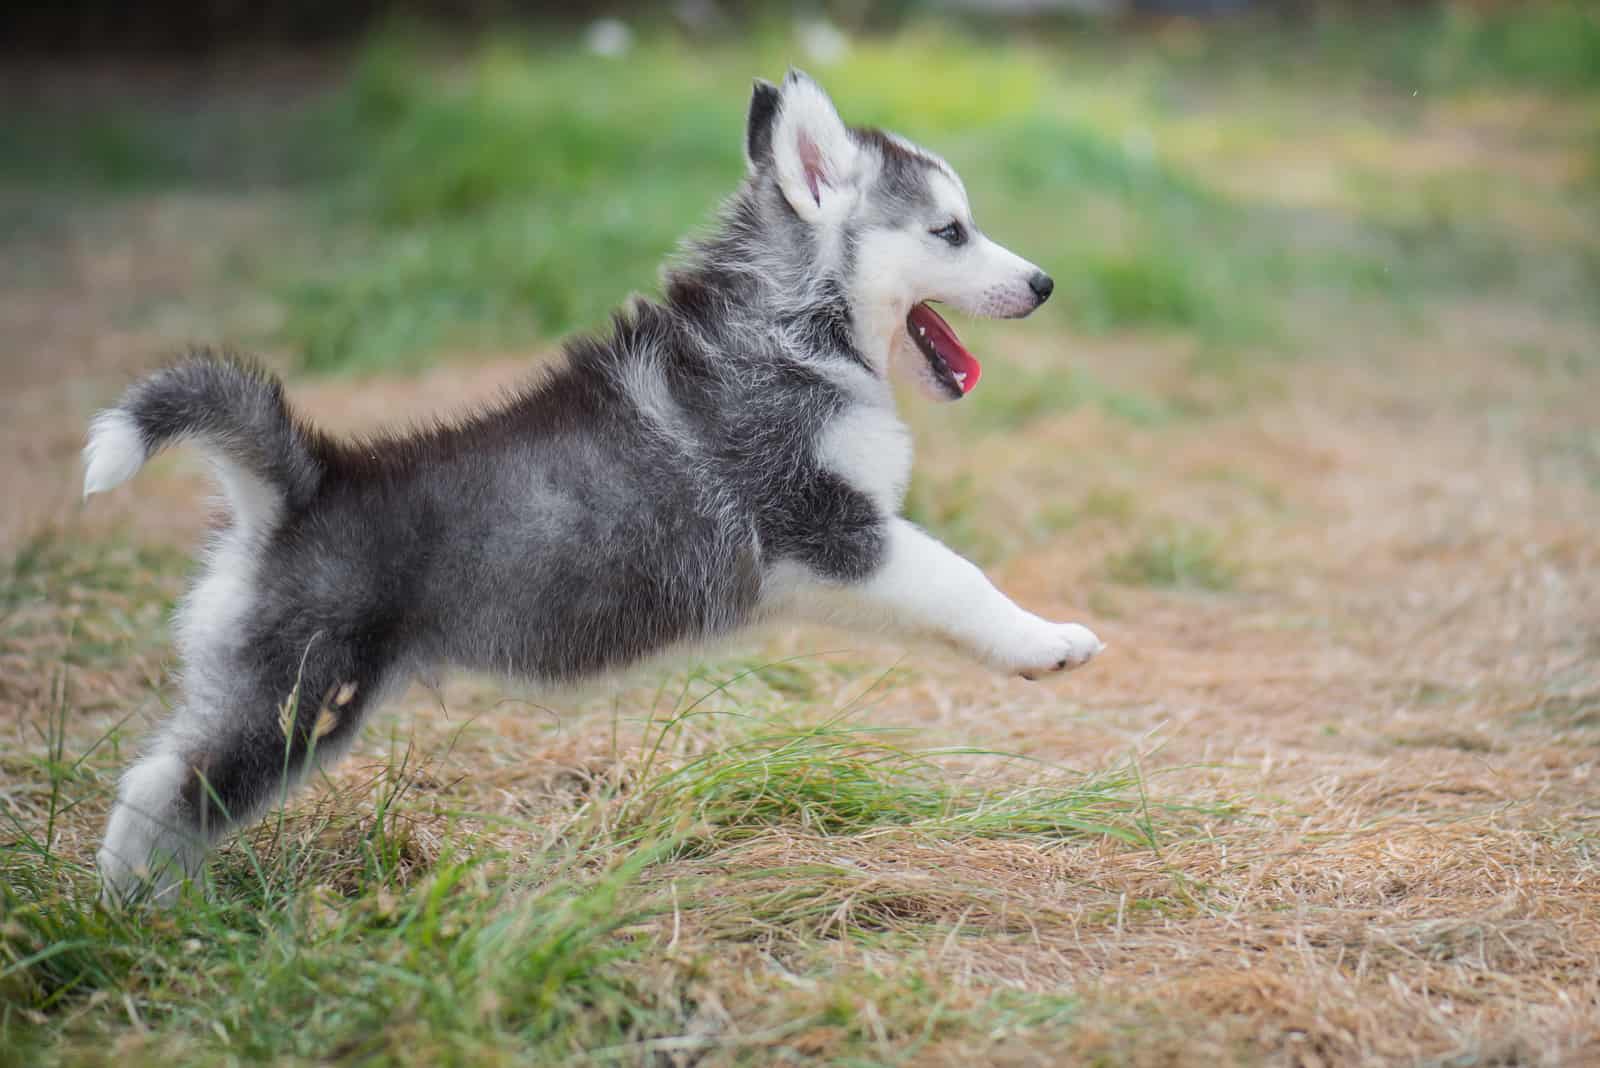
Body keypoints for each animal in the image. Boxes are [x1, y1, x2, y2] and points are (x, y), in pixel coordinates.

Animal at [78, 68, 1100, 901]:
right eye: (951, 232)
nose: (1047, 283)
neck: (793, 325)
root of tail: (305, 482)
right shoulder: (829, 525)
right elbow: (960, 578)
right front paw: (1045, 642)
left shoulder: (825, 562)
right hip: (295, 699)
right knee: (160, 789)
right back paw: (138, 917)